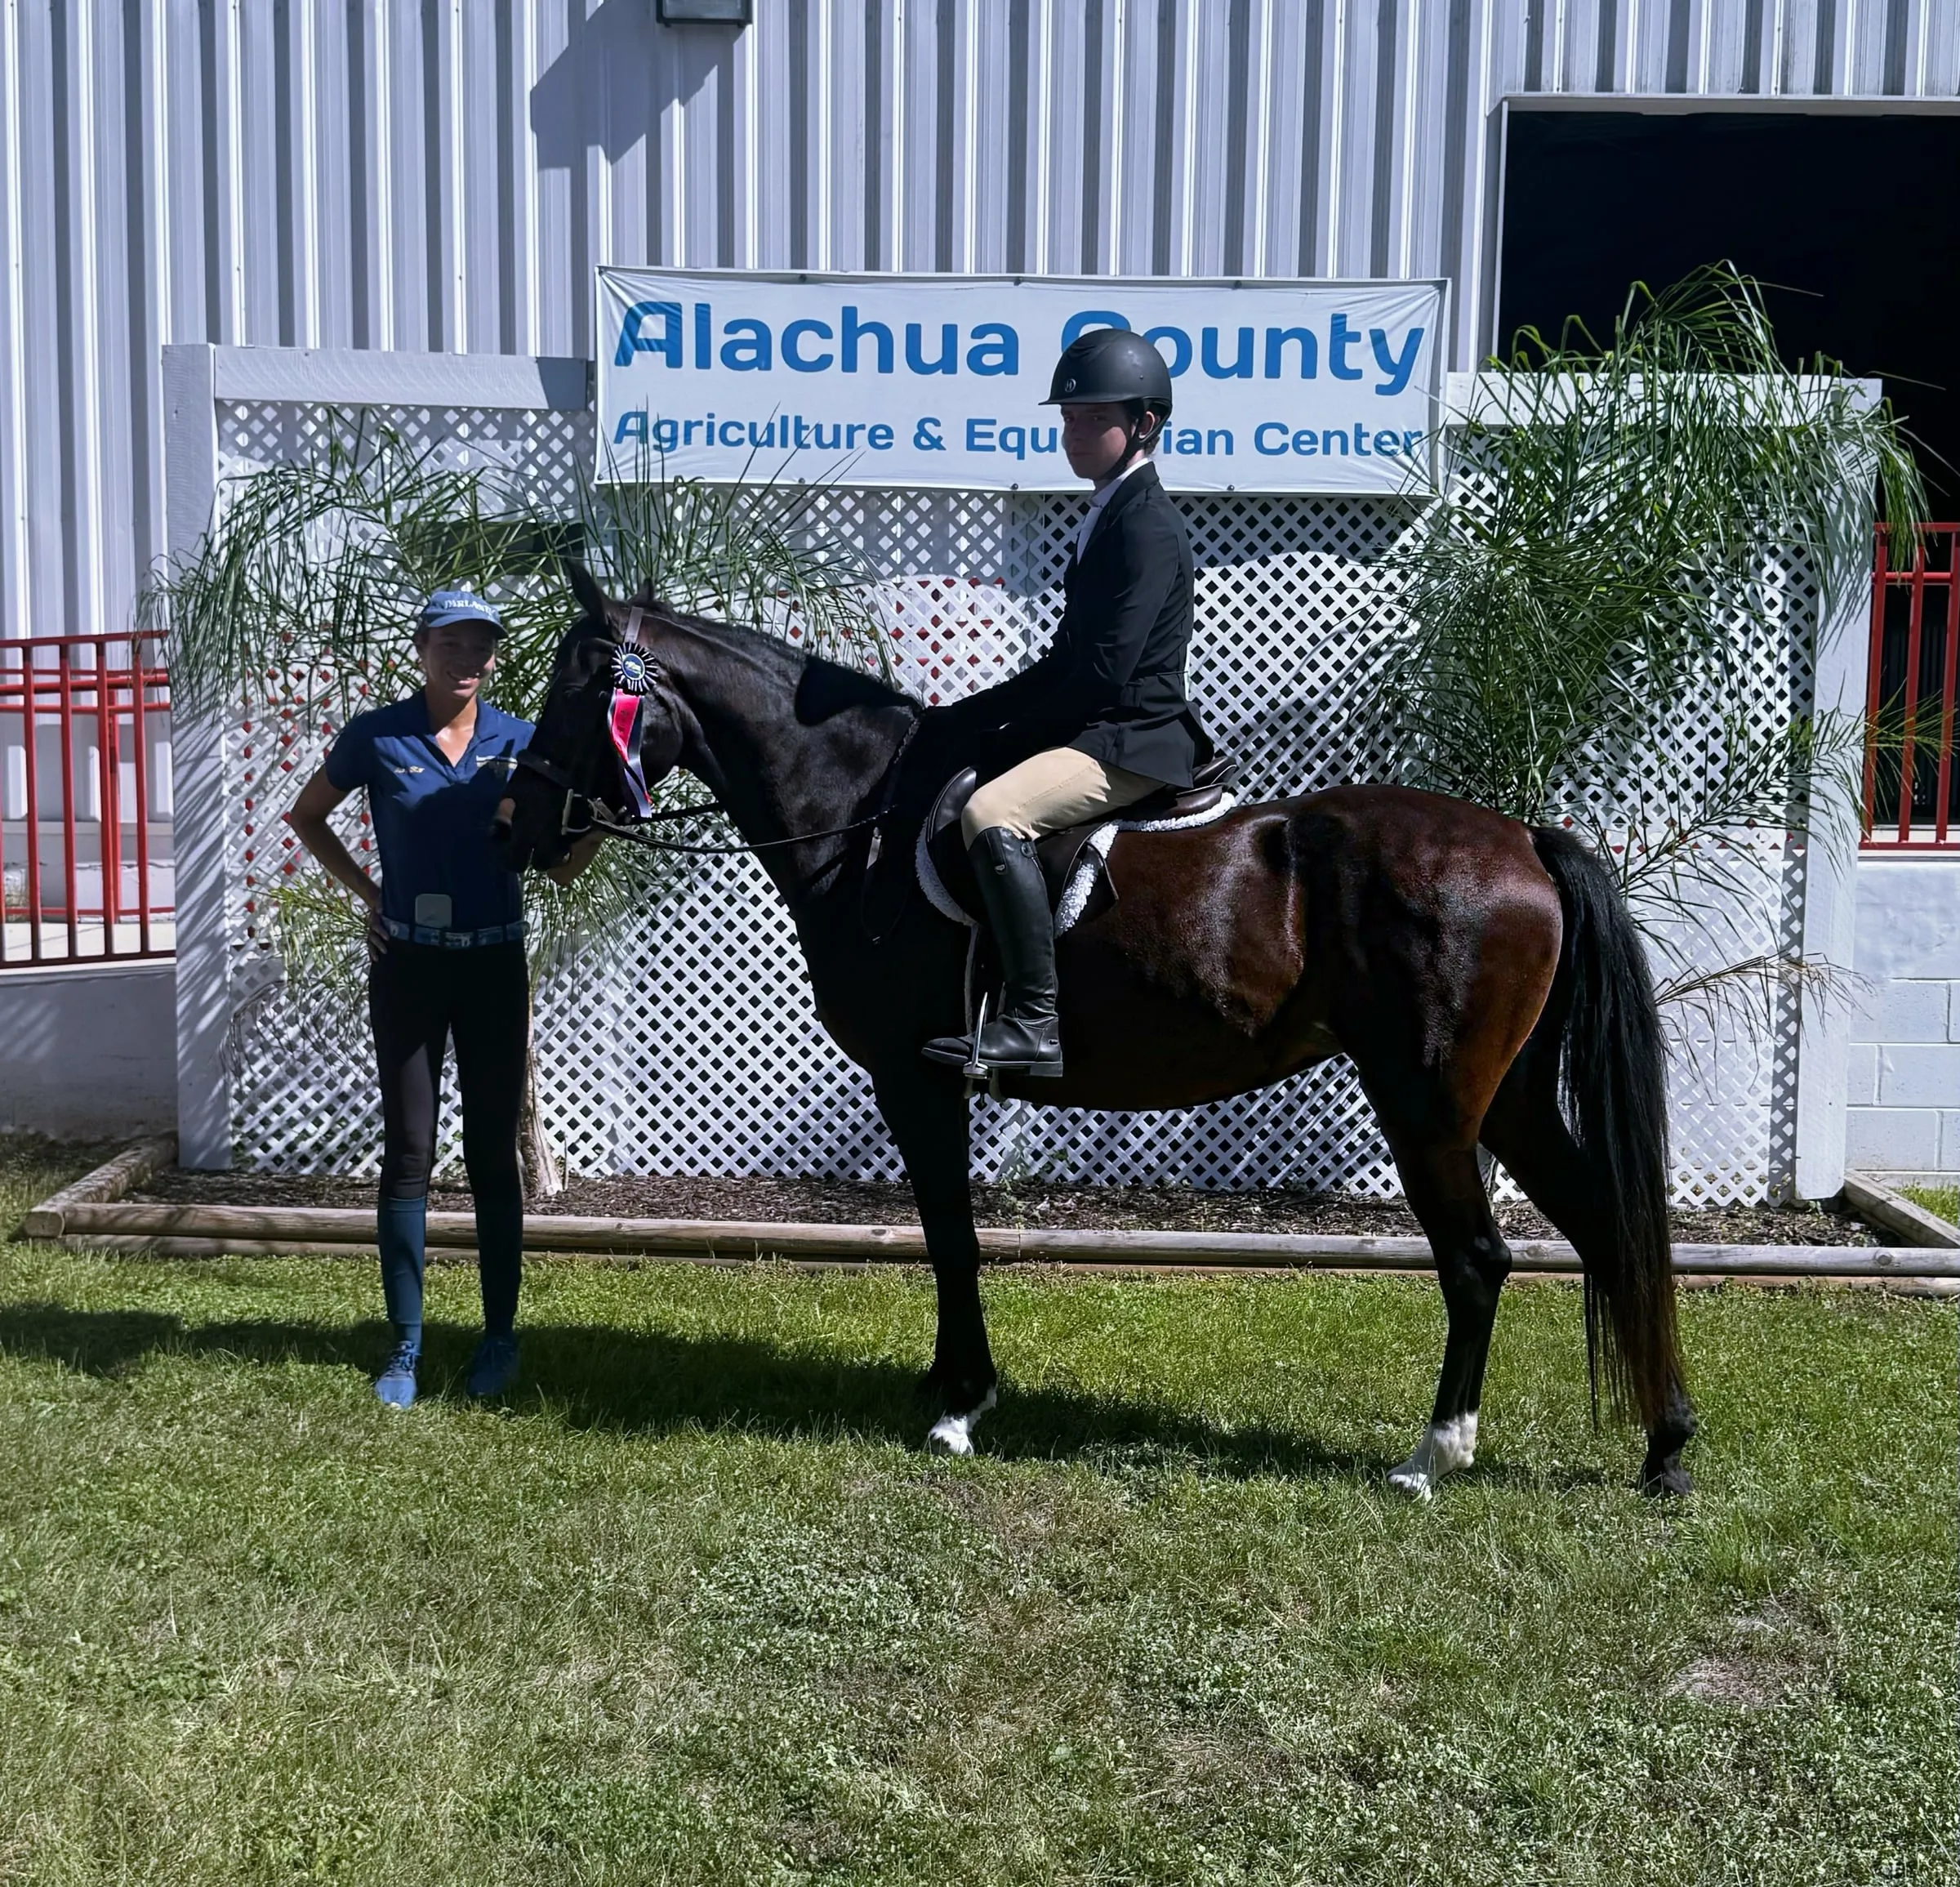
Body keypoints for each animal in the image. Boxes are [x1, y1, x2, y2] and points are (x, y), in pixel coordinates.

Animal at [493, 567, 1697, 1499]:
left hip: (1432, 1101)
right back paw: (1667, 1448)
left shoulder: (914, 1079)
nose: (518, 828)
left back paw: (1432, 1456)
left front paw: (959, 1405)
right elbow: (951, 1237)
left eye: (575, 688)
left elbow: (951, 1236)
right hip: (1512, 1096)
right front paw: (952, 1389)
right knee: (1608, 1229)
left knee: (1480, 1258)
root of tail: (1527, 840)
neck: (865, 819)